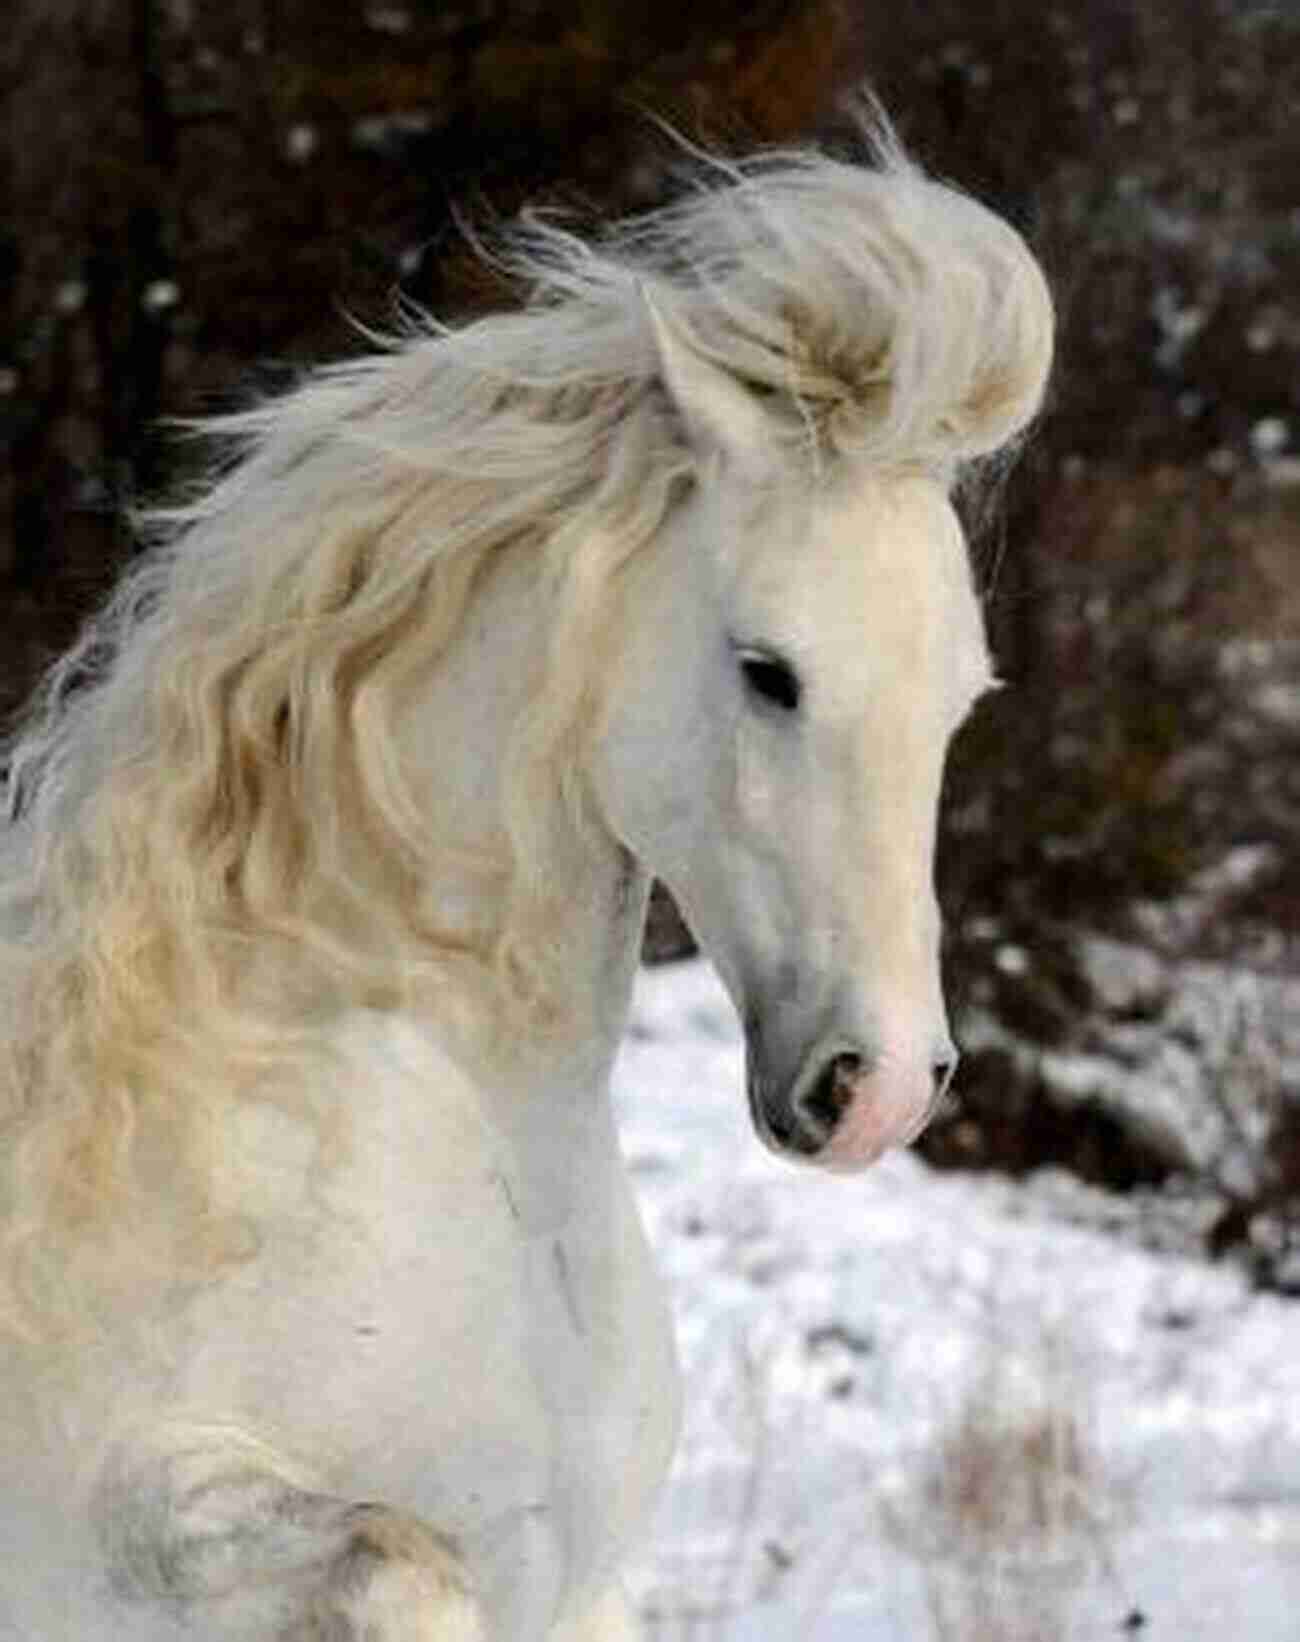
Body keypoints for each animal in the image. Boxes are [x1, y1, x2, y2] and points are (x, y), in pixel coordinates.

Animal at [0, 131, 1050, 1642]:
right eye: (768, 669)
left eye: (962, 698)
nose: (884, 1087)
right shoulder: (142, 1507)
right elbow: (402, 1560)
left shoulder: (587, 1583)